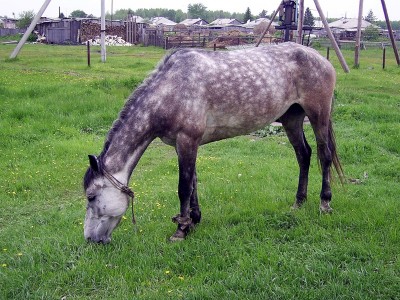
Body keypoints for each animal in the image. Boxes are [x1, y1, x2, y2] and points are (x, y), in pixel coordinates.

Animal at [83, 42, 342, 244]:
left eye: (91, 197)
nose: (90, 239)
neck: (169, 90)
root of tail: (321, 59)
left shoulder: (187, 140)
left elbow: (184, 187)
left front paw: (180, 230)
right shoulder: (185, 144)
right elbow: (193, 183)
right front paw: (193, 221)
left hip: (318, 115)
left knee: (324, 155)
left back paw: (325, 203)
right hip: (292, 118)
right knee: (303, 155)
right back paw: (299, 203)